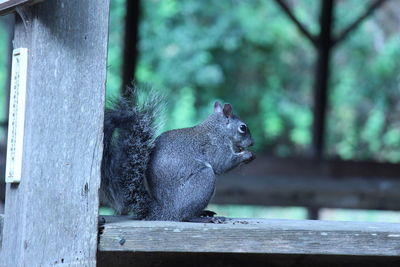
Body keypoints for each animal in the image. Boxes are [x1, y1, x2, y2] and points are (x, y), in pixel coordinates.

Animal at [101, 88, 255, 222]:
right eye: (243, 128)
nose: (252, 143)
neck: (217, 129)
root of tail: (166, 211)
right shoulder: (215, 146)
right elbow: (223, 164)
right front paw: (247, 155)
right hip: (204, 179)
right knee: (184, 216)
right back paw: (203, 218)